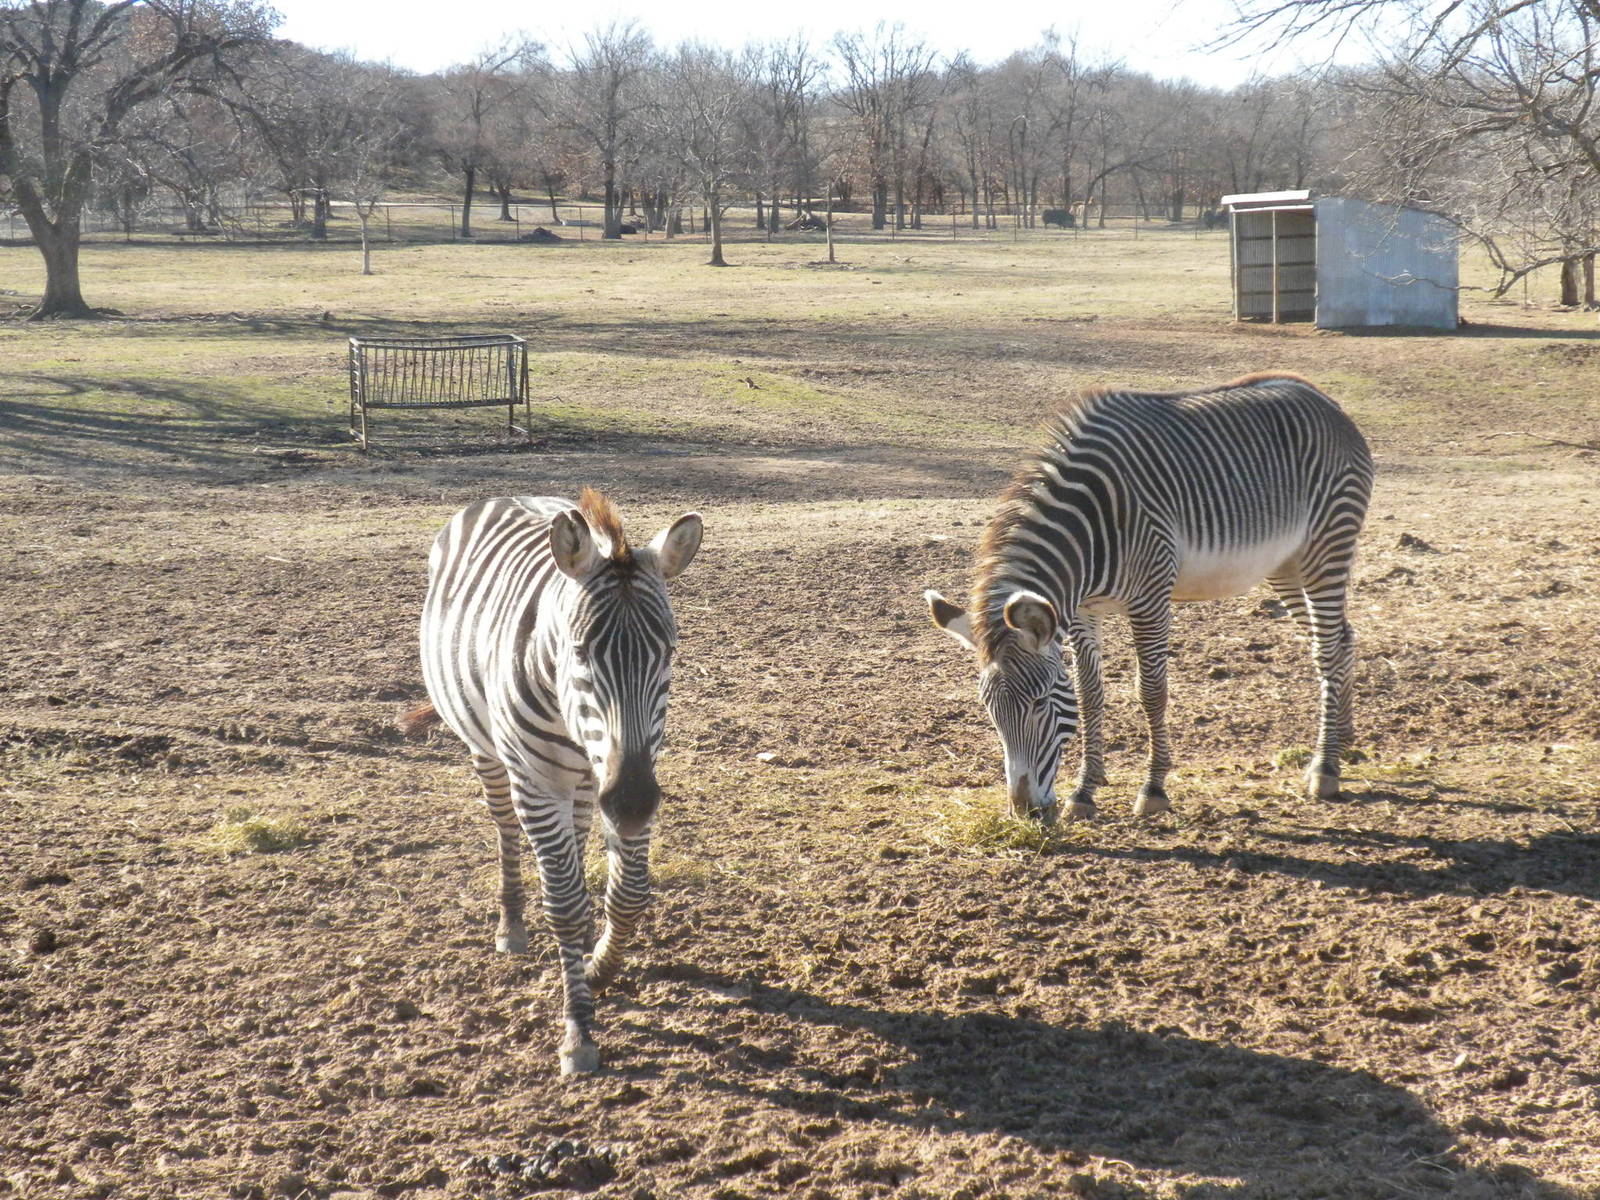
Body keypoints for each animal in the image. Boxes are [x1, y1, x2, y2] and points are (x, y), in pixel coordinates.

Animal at [405, 488, 703, 1074]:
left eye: (668, 653)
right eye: (580, 651)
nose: (631, 805)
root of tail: (508, 495)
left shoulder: (630, 765)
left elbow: (628, 893)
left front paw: (598, 966)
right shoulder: (539, 781)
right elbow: (563, 903)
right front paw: (578, 1029)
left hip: (585, 783)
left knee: (580, 833)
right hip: (491, 754)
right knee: (505, 830)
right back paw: (512, 925)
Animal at [924, 372, 1372, 823]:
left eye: (1039, 703)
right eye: (990, 710)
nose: (1025, 811)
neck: (1088, 528)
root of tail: (1321, 397)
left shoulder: (1151, 599)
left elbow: (1151, 692)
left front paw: (1153, 788)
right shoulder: (1082, 609)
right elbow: (1090, 694)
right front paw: (1085, 790)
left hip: (1326, 547)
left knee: (1328, 648)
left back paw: (1325, 767)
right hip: (1285, 566)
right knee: (1342, 637)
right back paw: (1345, 740)